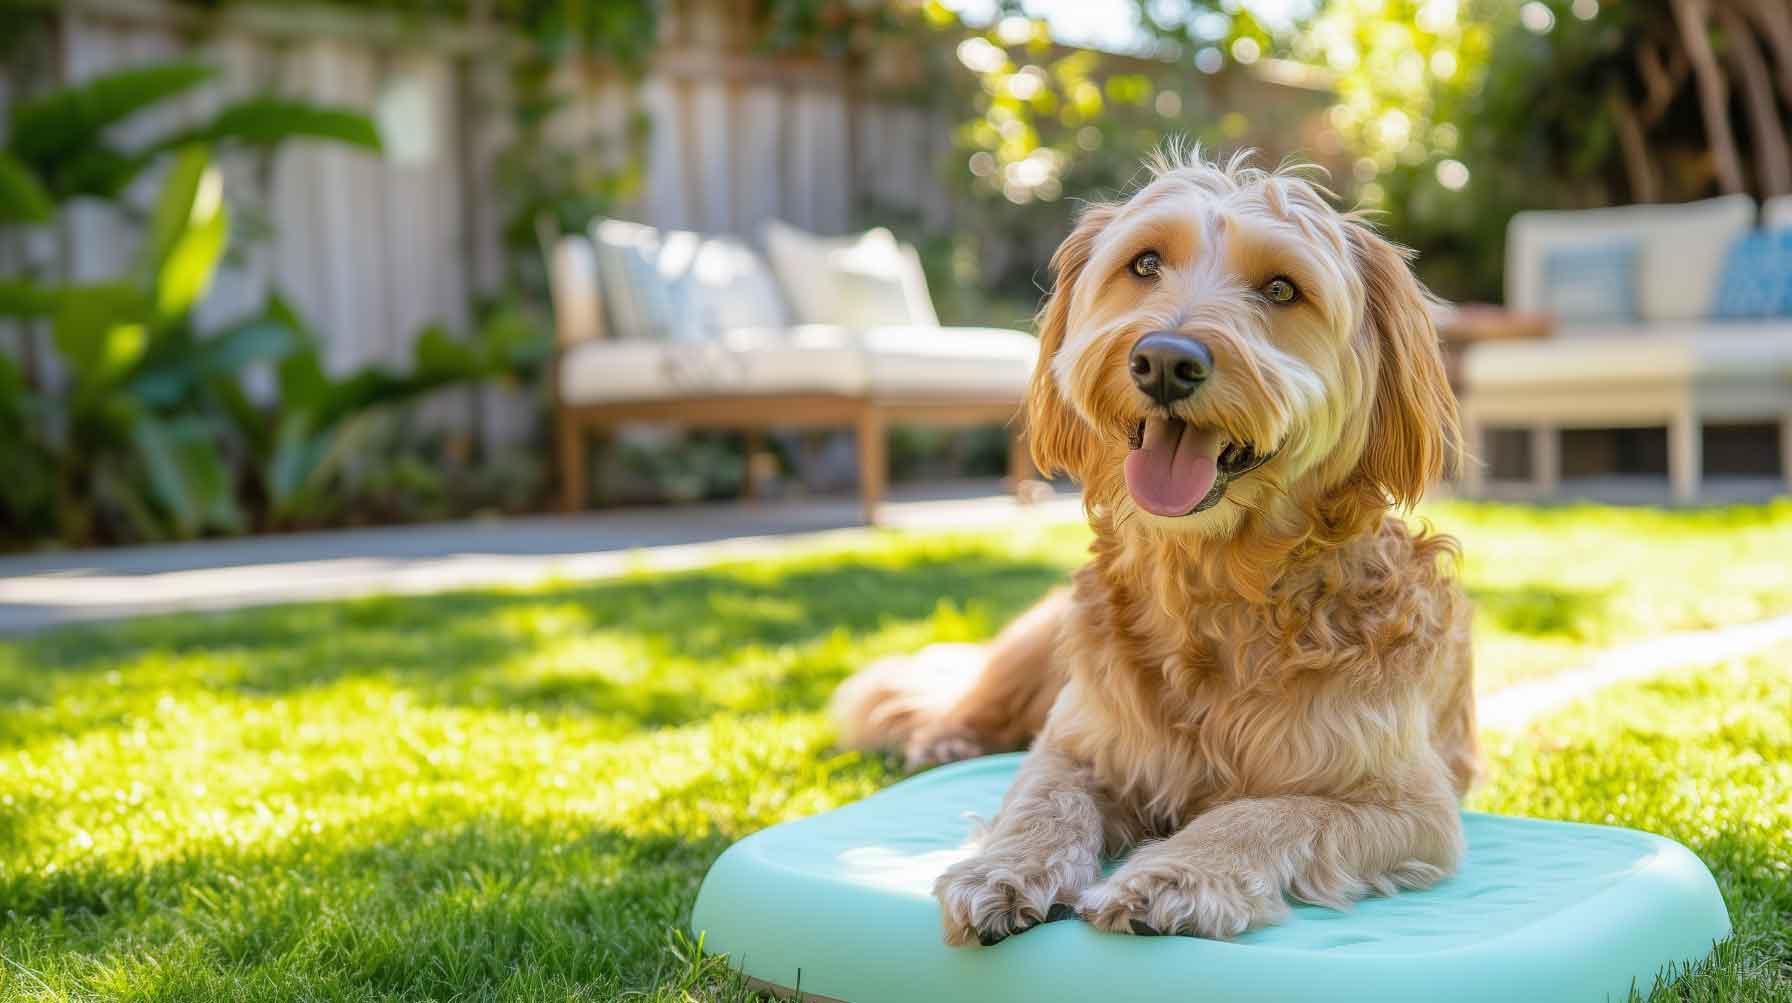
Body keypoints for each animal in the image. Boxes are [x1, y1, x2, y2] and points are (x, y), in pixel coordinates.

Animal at [831, 148, 1476, 945]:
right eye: (1144, 264)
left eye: (1281, 288)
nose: (1165, 360)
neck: (1211, 586)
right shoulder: (1078, 742)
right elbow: (1043, 798)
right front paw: (1003, 867)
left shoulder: (1410, 805)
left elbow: (1263, 812)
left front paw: (1176, 873)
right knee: (961, 699)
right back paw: (944, 739)